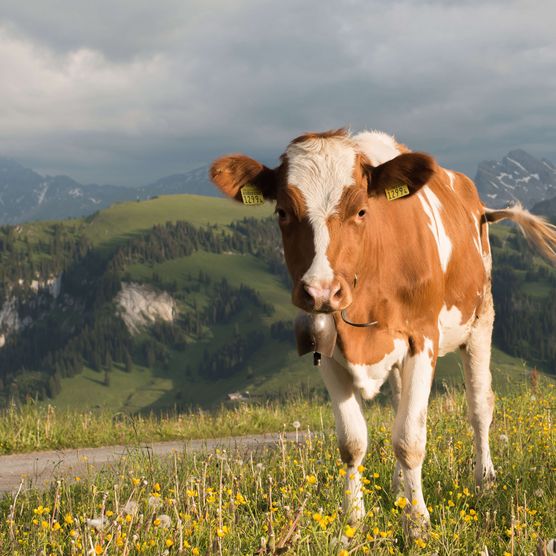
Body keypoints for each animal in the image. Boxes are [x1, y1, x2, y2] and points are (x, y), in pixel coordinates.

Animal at [208, 128, 556, 536]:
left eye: (361, 211)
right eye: (282, 212)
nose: (321, 291)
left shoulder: (423, 338)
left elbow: (409, 438)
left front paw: (417, 523)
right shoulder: (326, 350)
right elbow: (352, 441)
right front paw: (353, 520)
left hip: (481, 319)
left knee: (479, 407)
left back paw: (483, 481)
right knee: (401, 403)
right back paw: (399, 487)